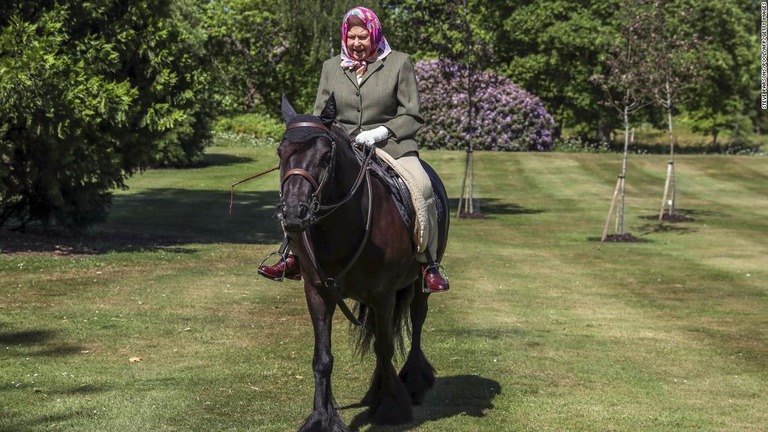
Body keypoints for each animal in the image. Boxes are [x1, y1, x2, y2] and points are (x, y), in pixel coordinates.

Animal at [278, 93, 450, 428]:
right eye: (281, 152)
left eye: (325, 155)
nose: (293, 213)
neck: (340, 226)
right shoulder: (318, 292)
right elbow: (323, 357)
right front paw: (322, 417)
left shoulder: (383, 295)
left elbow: (384, 347)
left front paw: (391, 407)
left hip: (419, 284)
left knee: (417, 321)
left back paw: (412, 382)